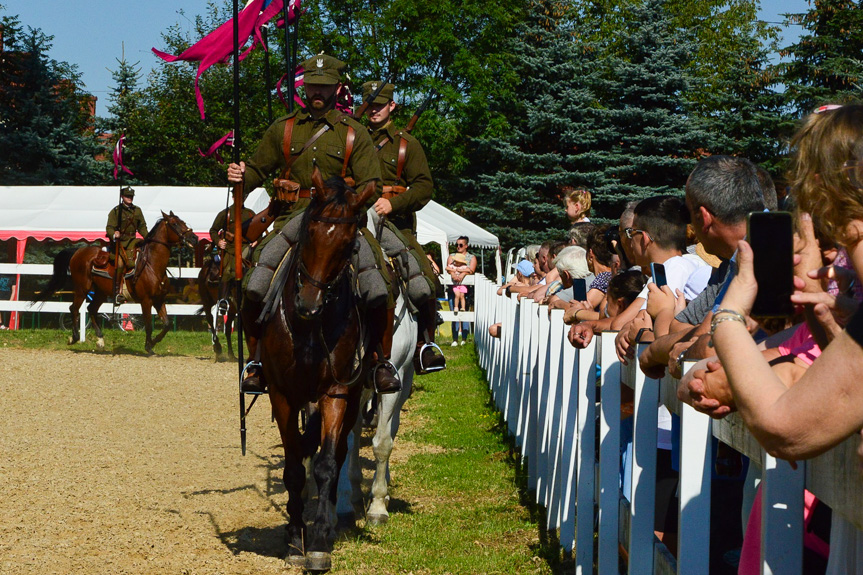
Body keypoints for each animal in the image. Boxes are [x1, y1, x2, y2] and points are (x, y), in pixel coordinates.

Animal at [37, 213, 197, 354]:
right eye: (174, 223)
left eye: (182, 221)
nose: (194, 237)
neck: (152, 265)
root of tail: (78, 251)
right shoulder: (146, 301)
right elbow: (148, 325)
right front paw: (148, 347)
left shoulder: (159, 299)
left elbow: (167, 324)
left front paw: (154, 342)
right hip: (82, 289)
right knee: (74, 309)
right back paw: (74, 337)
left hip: (100, 293)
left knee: (91, 309)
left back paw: (100, 340)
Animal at [245, 170, 376, 572]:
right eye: (309, 232)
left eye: (349, 244)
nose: (308, 304)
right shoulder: (283, 396)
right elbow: (292, 468)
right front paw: (293, 538)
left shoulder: (336, 393)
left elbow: (326, 464)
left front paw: (317, 543)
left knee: (336, 454)